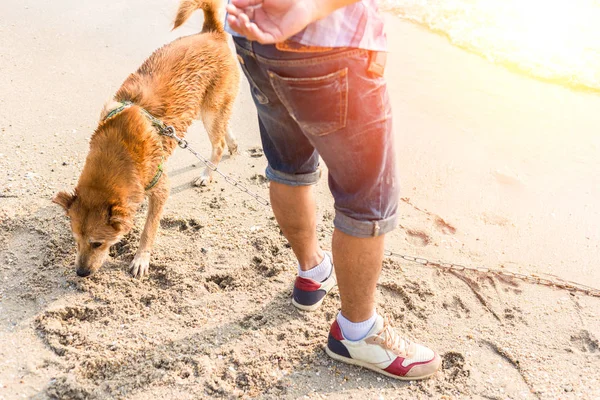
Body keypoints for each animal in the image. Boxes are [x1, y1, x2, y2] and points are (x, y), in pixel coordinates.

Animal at [52, 0, 239, 278]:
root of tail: (212, 32)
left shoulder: (161, 188)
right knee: (226, 127)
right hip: (203, 109)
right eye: (75, 240)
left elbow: (149, 229)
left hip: (209, 110)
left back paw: (207, 174)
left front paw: (141, 259)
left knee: (218, 144)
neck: (120, 148)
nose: (81, 273)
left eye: (98, 243)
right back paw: (233, 144)